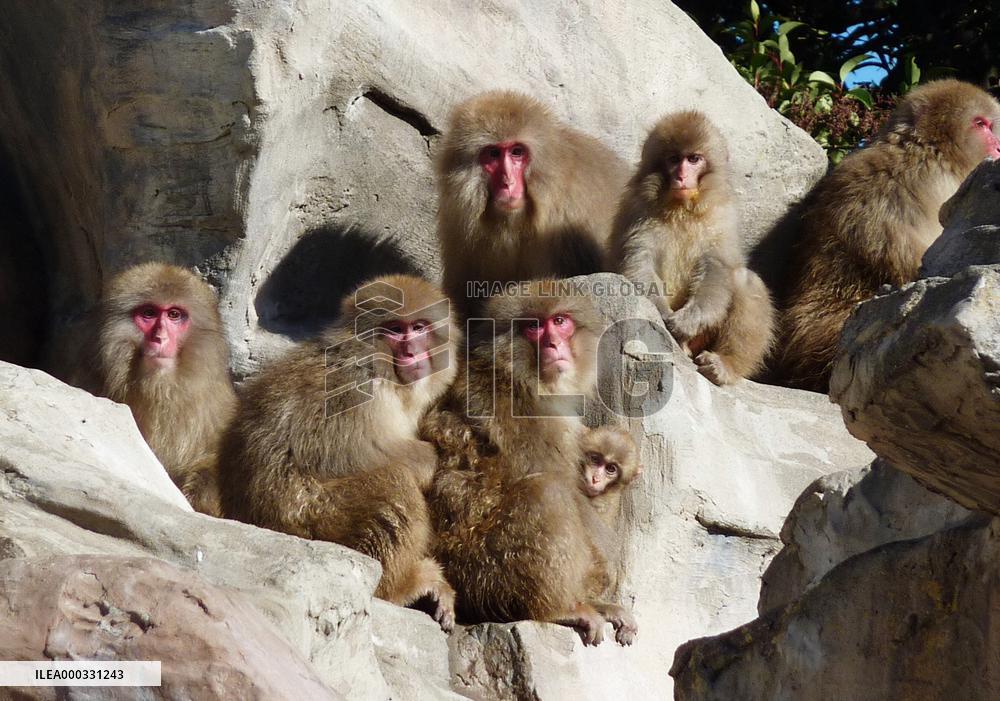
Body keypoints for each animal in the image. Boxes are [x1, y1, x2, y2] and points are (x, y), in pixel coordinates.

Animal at [217, 274, 458, 631]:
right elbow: (345, 453)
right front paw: (431, 458)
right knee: (394, 485)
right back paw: (399, 587)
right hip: (312, 519)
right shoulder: (353, 390)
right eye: (395, 330)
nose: (411, 351)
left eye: (419, 327)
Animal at [421, 283, 638, 646]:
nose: (552, 344)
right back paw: (558, 609)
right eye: (534, 327)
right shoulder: (523, 412)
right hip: (478, 571)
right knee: (548, 492)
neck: (522, 376)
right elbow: (566, 491)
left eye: (560, 322)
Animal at [609, 110, 775, 385]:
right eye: (674, 159)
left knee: (744, 280)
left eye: (694, 159)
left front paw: (687, 322)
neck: (682, 209)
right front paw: (662, 313)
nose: (680, 176)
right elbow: (639, 262)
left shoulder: (722, 214)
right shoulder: (637, 209)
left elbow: (716, 269)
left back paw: (725, 365)